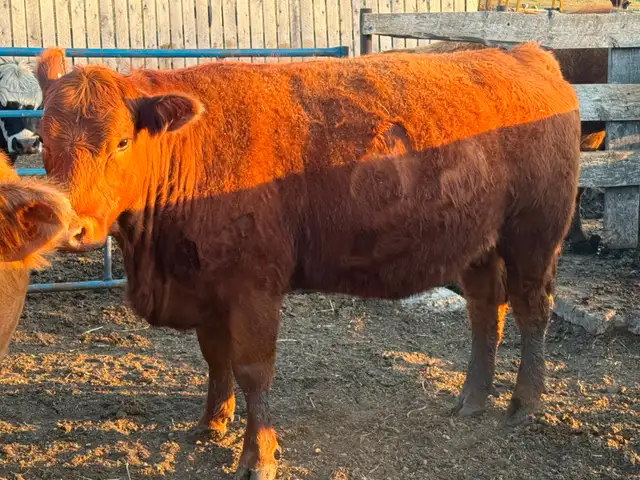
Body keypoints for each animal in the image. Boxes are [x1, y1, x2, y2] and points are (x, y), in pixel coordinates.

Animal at [36, 44, 581, 479]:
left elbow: (253, 370)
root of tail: (525, 55)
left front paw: (258, 456)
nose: (70, 228)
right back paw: (471, 400)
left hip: (533, 236)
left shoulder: (253, 290)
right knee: (487, 313)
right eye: (42, 138)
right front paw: (211, 424)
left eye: (122, 141)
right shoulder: (207, 286)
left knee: (531, 310)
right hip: (478, 246)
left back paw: (523, 403)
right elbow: (215, 359)